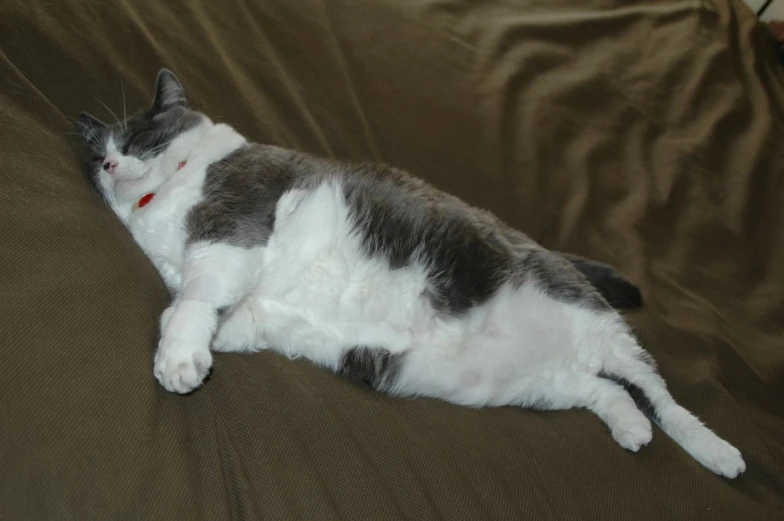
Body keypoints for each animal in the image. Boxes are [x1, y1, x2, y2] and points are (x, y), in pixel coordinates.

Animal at [79, 70, 748, 480]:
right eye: (97, 156)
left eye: (137, 136)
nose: (109, 164)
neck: (167, 208)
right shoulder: (238, 294)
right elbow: (218, 312)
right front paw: (199, 341)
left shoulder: (235, 221)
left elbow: (196, 294)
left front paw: (178, 355)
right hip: (536, 386)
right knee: (606, 392)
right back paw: (630, 428)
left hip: (592, 319)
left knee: (660, 394)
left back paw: (716, 451)